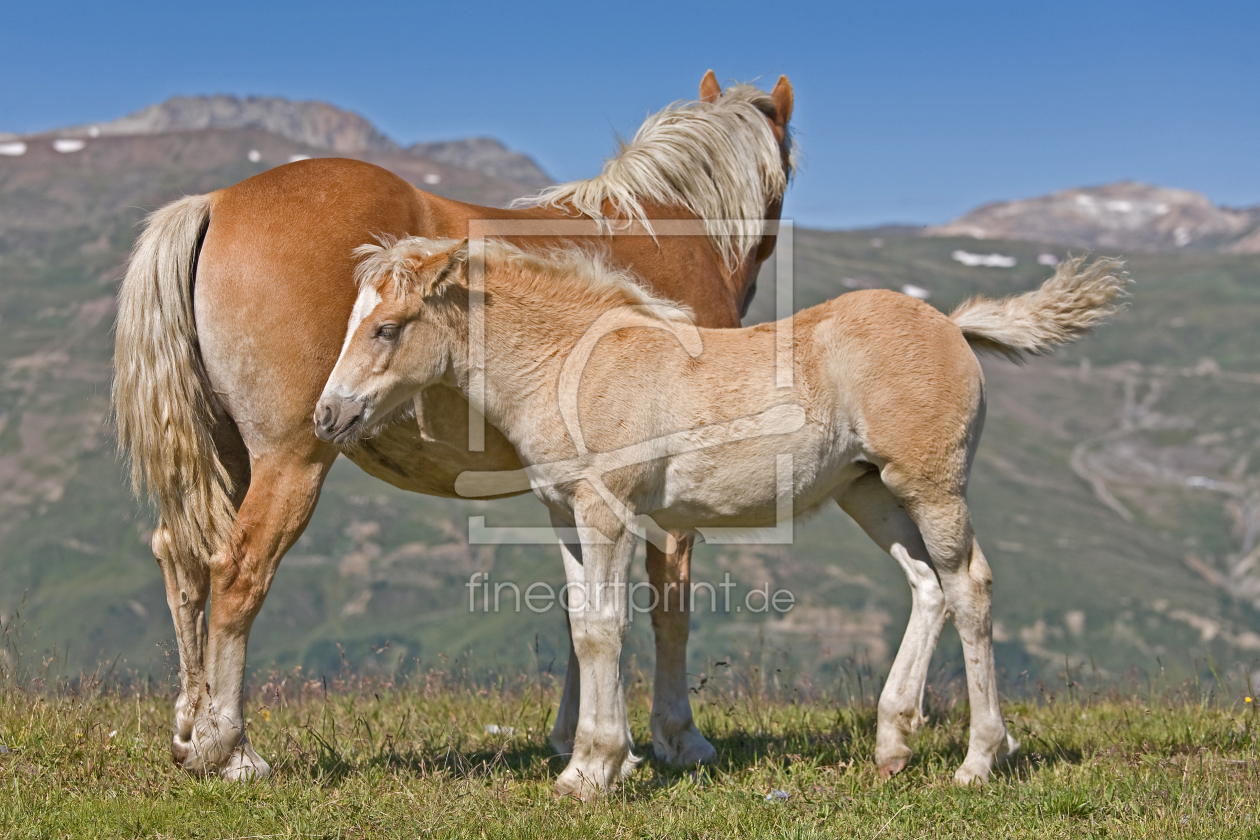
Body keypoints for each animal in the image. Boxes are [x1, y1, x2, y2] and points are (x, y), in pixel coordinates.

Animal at [113, 73, 791, 780]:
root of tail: (216, 203)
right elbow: (667, 610)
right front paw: (677, 737)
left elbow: (582, 615)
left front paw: (579, 739)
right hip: (290, 459)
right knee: (238, 571)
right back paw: (230, 746)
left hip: (226, 457)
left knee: (183, 557)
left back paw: (191, 729)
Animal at [315, 235, 1134, 795]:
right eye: (350, 323)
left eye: (387, 327)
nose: (328, 416)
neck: (575, 364)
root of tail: (954, 326)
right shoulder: (564, 514)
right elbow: (581, 627)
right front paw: (587, 764)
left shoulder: (608, 510)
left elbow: (605, 629)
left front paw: (597, 770)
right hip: (868, 491)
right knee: (927, 586)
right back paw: (892, 745)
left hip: (931, 485)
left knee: (970, 588)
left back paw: (979, 759)